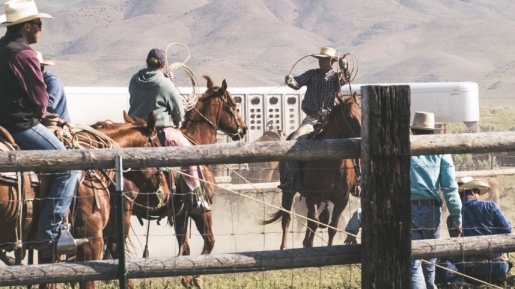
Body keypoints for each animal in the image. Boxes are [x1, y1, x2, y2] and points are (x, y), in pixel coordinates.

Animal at [262, 92, 362, 248]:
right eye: (349, 116)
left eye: (362, 113)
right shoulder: (312, 196)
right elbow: (314, 223)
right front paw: (309, 244)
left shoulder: (342, 198)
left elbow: (332, 227)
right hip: (288, 192)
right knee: (287, 219)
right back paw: (284, 247)